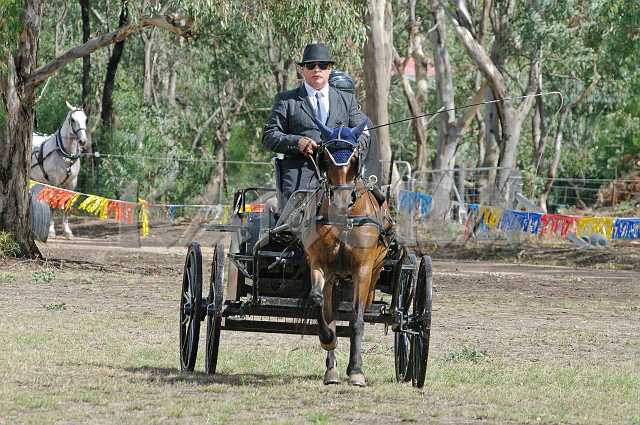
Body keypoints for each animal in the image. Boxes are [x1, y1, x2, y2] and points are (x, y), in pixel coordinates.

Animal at [30, 101, 89, 238]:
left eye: (86, 119)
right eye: (72, 120)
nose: (83, 141)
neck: (65, 155)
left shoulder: (71, 184)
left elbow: (67, 206)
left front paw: (67, 231)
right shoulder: (54, 183)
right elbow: (52, 205)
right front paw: (51, 231)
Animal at [301, 119, 393, 386]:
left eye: (354, 160)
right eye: (326, 159)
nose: (342, 202)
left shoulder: (362, 270)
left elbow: (357, 320)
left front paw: (356, 371)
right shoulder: (320, 265)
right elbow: (318, 303)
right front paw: (328, 339)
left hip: (372, 272)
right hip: (335, 278)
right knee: (329, 309)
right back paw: (331, 370)